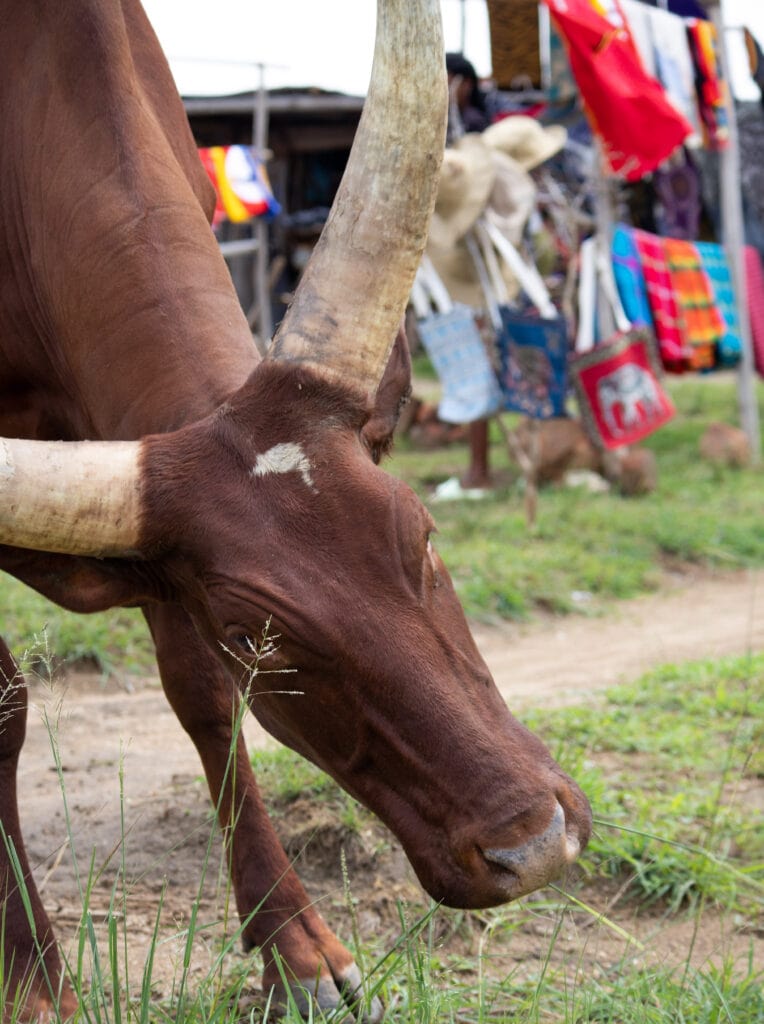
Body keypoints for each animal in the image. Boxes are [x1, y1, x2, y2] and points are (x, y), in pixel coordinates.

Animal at [0, 0, 592, 1019]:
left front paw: (299, 949)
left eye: (423, 540)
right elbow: (1, 709)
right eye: (252, 633)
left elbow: (202, 699)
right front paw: (36, 982)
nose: (532, 843)